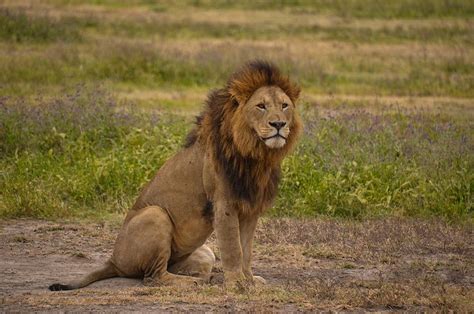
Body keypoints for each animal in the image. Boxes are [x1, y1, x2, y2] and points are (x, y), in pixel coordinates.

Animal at [48, 60, 300, 290]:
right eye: (261, 106)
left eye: (284, 105)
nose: (279, 124)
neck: (256, 155)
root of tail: (113, 260)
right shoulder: (224, 204)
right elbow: (233, 249)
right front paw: (237, 284)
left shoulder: (250, 207)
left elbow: (246, 249)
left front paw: (250, 280)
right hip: (155, 214)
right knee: (154, 277)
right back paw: (196, 283)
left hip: (204, 253)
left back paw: (205, 277)